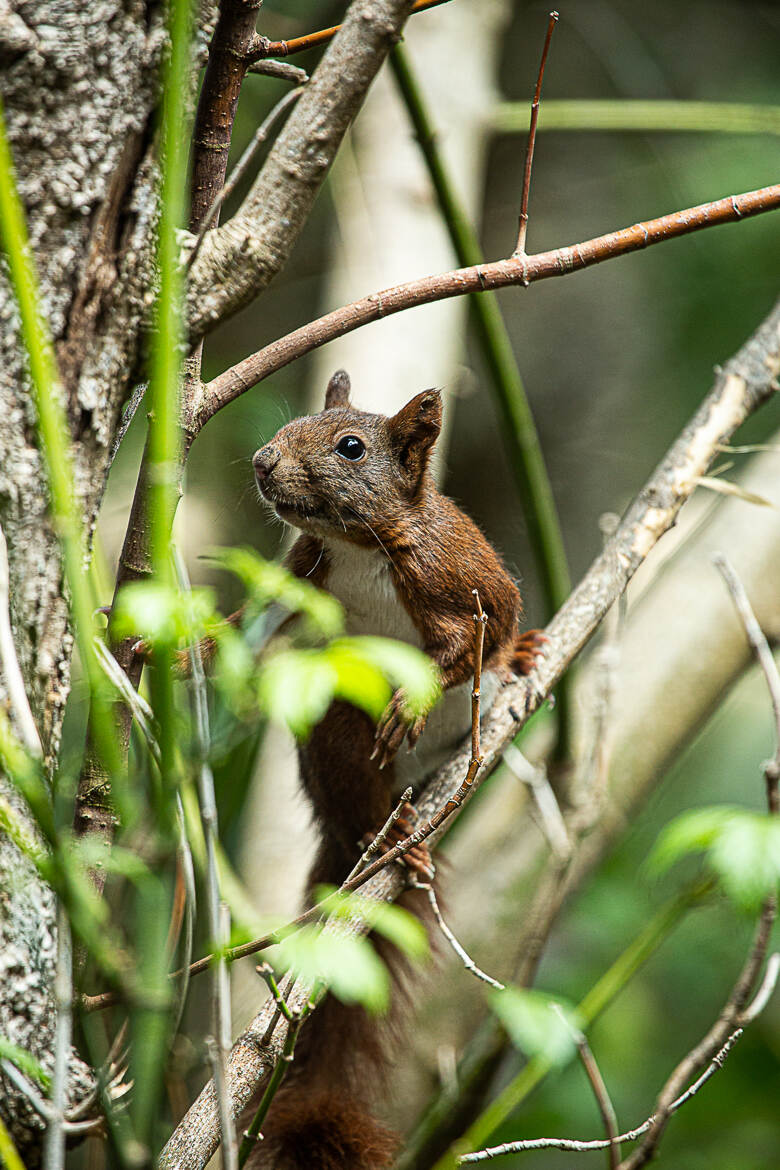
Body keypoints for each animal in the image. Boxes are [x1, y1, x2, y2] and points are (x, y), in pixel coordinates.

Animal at [249, 372, 542, 1170]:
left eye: (351, 447)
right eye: (300, 422)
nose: (262, 460)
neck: (353, 547)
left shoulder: (459, 576)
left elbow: (482, 635)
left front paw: (433, 689)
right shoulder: (301, 575)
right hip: (340, 742)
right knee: (359, 796)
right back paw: (393, 836)